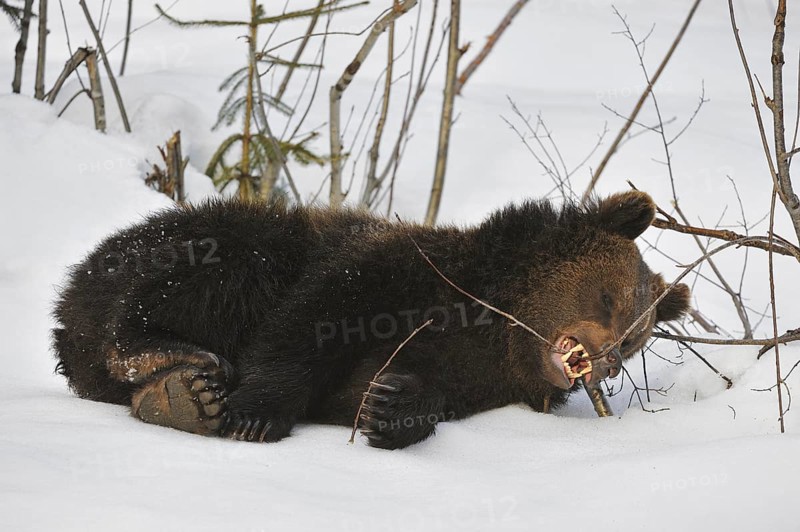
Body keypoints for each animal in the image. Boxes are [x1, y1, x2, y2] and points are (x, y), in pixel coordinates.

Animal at [52, 190, 690, 449]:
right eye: (608, 299)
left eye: (634, 340)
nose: (603, 363)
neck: (495, 322)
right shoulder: (388, 272)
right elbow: (310, 322)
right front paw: (257, 416)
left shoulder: (473, 376)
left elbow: (410, 392)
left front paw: (389, 408)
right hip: (211, 247)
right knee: (211, 271)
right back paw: (176, 363)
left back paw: (181, 397)